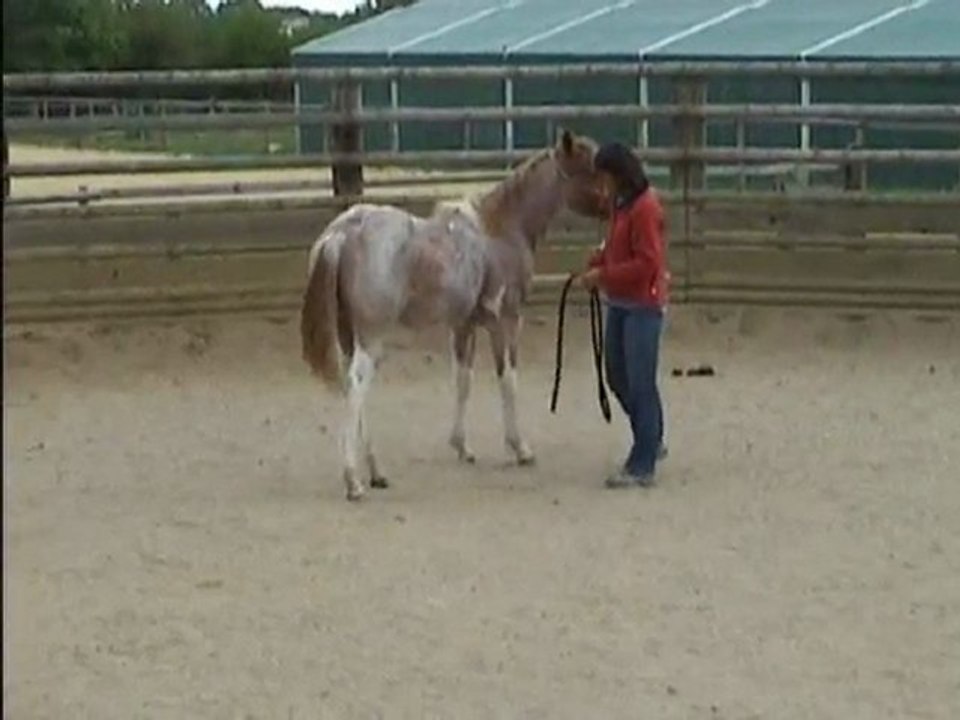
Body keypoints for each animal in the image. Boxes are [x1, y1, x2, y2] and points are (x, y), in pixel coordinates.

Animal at [301, 129, 605, 501]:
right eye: (592, 166)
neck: (499, 231)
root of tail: (342, 232)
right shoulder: (505, 321)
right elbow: (508, 381)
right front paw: (520, 448)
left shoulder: (464, 325)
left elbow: (463, 380)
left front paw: (462, 447)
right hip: (371, 337)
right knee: (358, 386)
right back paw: (353, 480)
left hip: (349, 336)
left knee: (352, 388)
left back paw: (376, 472)